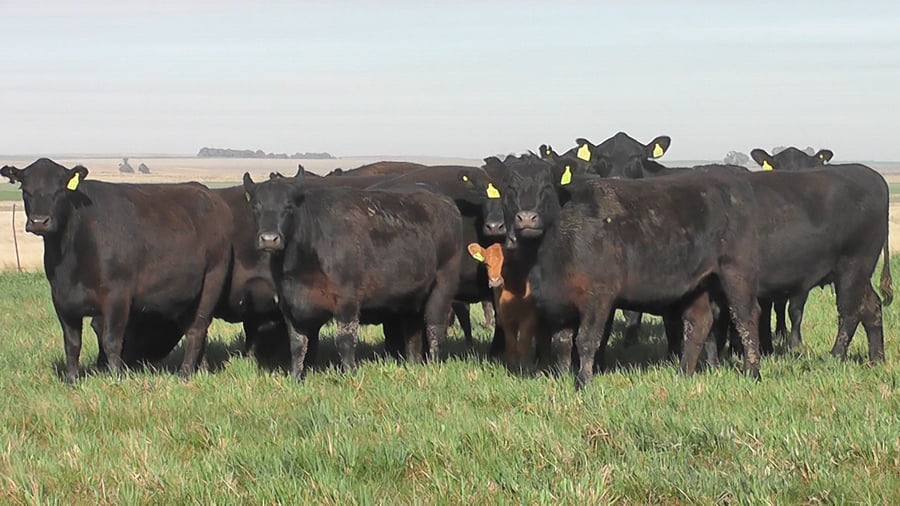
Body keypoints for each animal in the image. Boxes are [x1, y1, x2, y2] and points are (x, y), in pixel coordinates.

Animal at [0, 158, 233, 382]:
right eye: (25, 189)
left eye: (60, 190)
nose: (39, 221)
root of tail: (206, 193)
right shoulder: (62, 299)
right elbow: (72, 343)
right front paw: (71, 380)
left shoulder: (117, 295)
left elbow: (111, 340)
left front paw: (116, 378)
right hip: (184, 293)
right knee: (193, 327)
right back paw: (200, 371)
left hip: (211, 280)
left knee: (197, 328)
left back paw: (184, 373)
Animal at [242, 168, 463, 380]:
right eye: (255, 207)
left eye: (288, 206)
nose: (269, 239)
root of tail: (442, 200)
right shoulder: (289, 305)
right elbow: (297, 345)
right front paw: (295, 378)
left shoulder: (347, 301)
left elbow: (345, 340)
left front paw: (350, 374)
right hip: (411, 296)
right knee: (412, 331)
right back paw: (413, 364)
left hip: (443, 285)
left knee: (435, 327)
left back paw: (433, 366)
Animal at [483, 154, 762, 389]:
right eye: (510, 189)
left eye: (547, 188)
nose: (527, 218)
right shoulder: (558, 301)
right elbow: (562, 341)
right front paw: (562, 377)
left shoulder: (598, 296)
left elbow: (586, 340)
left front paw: (583, 383)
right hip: (697, 284)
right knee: (699, 322)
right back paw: (684, 374)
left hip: (736, 272)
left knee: (746, 318)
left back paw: (753, 373)